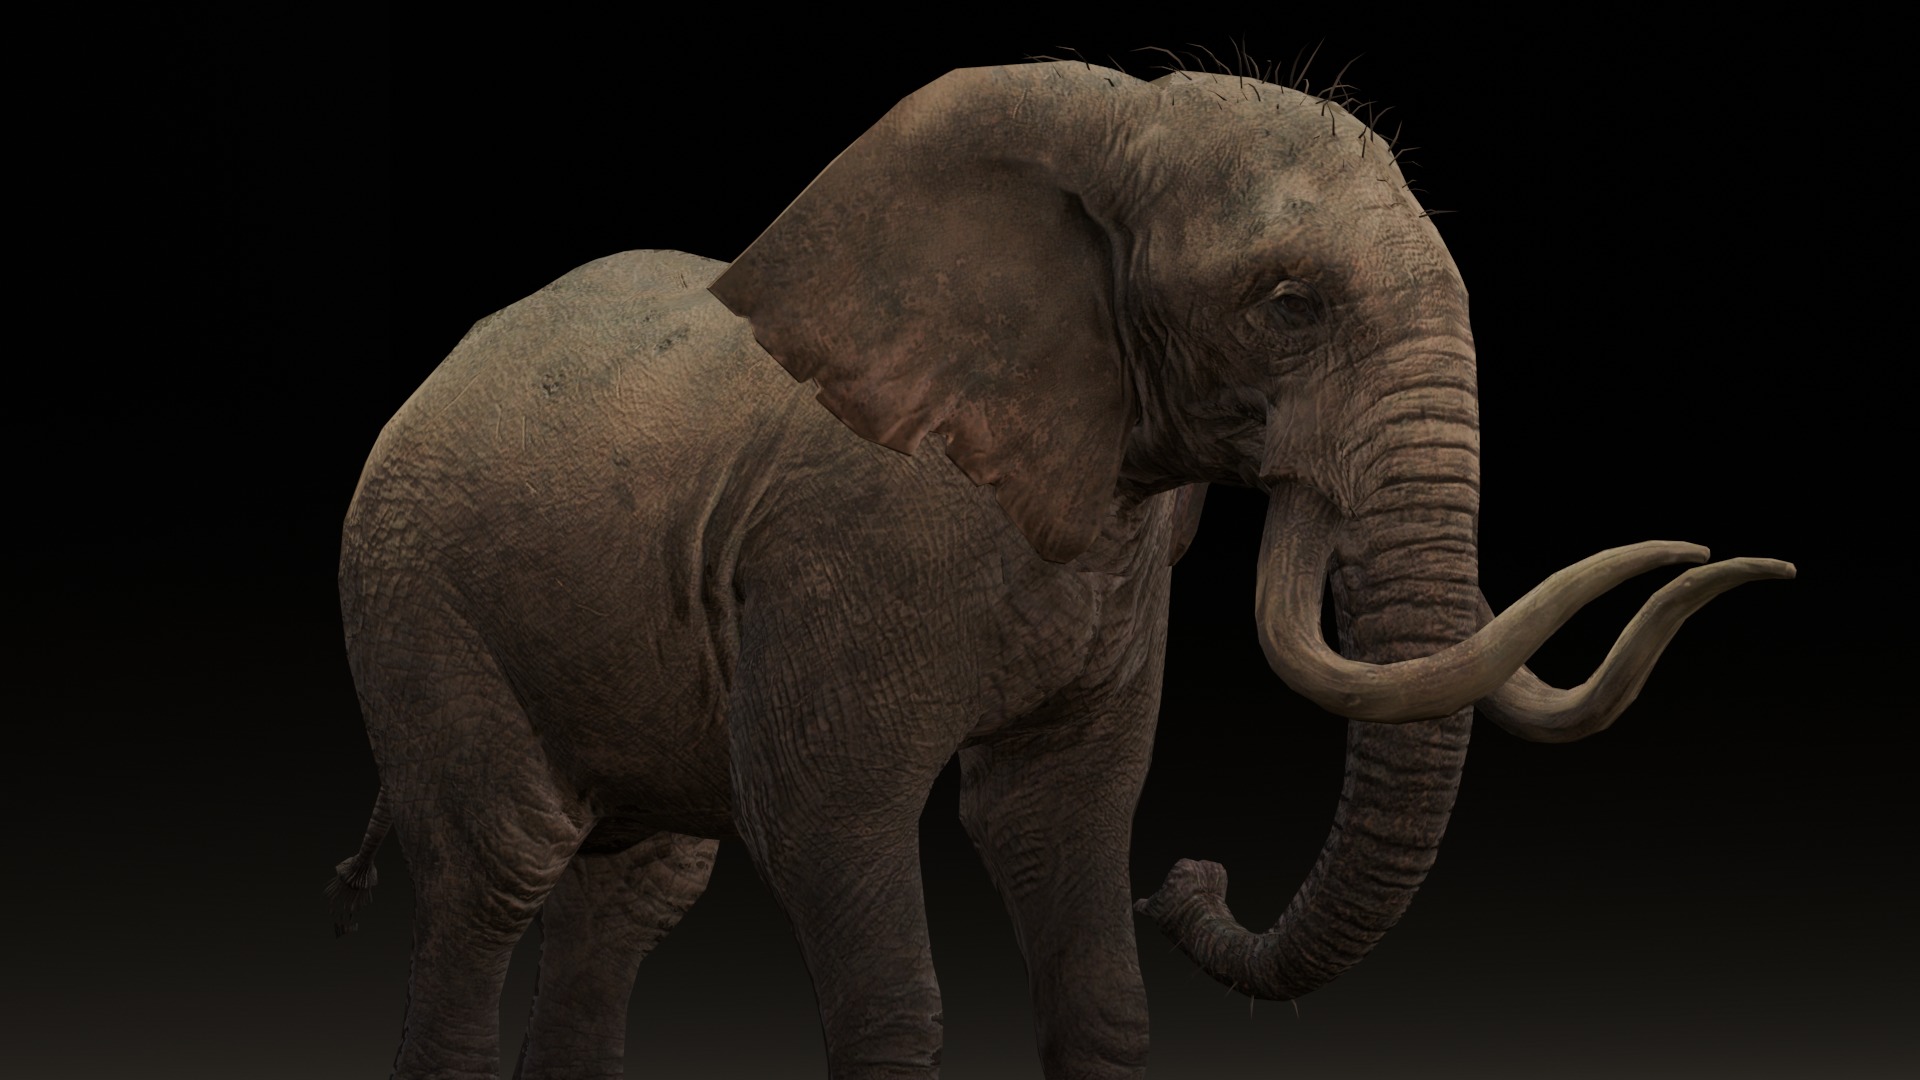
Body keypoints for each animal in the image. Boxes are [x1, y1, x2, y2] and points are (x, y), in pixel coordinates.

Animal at [329, 60, 1792, 1079]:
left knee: (632, 887)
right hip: (409, 593)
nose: (1192, 879)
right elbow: (823, 823)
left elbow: (1059, 836)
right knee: (503, 862)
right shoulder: (838, 553)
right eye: (1288, 306)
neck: (1120, 117)